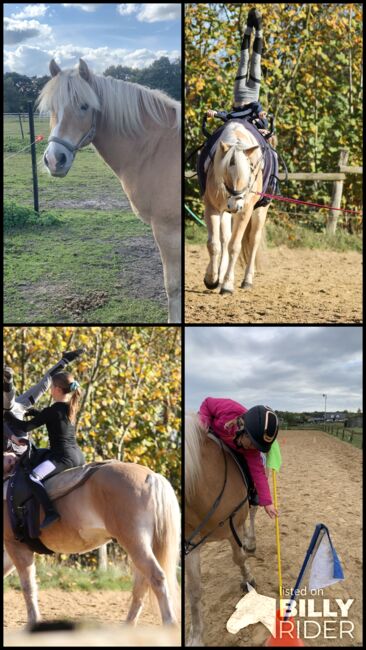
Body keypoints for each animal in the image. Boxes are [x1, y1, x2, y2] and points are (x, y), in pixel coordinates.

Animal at [2, 450, 180, 628]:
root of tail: (151, 476)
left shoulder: (16, 546)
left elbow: (28, 586)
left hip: (135, 543)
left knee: (156, 577)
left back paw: (169, 623)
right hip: (141, 546)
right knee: (142, 584)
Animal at [36, 60, 180, 322]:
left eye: (84, 106)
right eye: (53, 108)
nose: (54, 160)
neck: (155, 149)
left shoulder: (168, 230)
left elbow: (172, 286)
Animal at [184, 412, 256, 644]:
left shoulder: (233, 529)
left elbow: (239, 558)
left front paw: (248, 580)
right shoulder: (190, 546)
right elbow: (194, 590)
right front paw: (196, 637)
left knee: (254, 511)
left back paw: (251, 541)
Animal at [200, 119, 272, 294]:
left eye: (250, 172)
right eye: (225, 172)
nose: (234, 204)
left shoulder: (245, 212)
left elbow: (234, 246)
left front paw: (227, 285)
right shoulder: (212, 208)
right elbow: (214, 244)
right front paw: (211, 279)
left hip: (260, 211)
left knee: (253, 241)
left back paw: (247, 281)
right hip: (225, 212)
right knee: (224, 240)